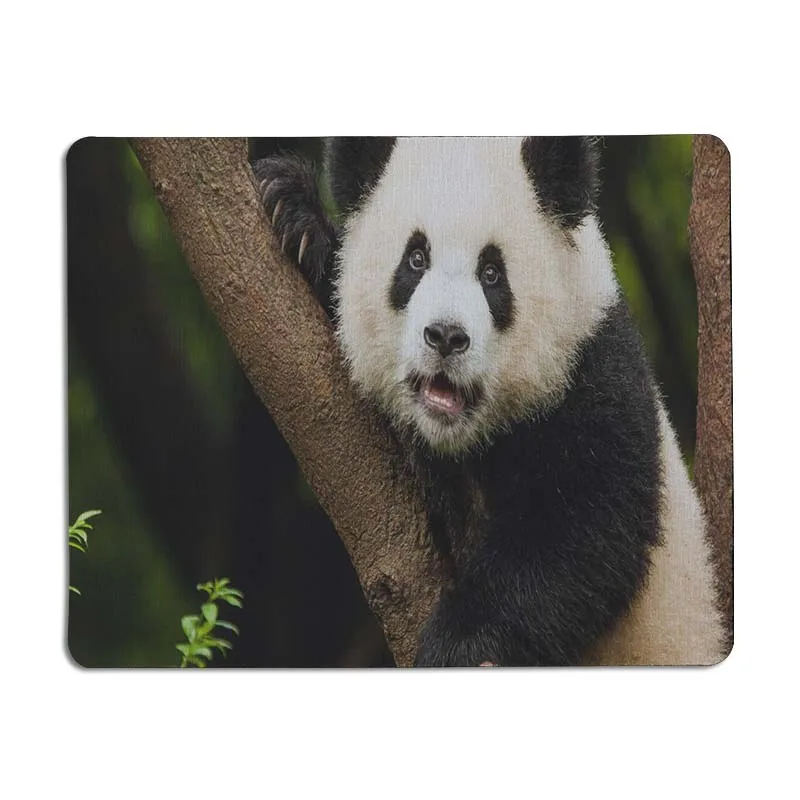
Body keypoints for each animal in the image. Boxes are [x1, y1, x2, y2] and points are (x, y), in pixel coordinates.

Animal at [252, 136, 728, 667]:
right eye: (415, 260)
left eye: (492, 273)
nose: (445, 336)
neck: (460, 439)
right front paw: (295, 215)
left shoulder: (592, 371)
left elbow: (583, 533)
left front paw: (459, 645)